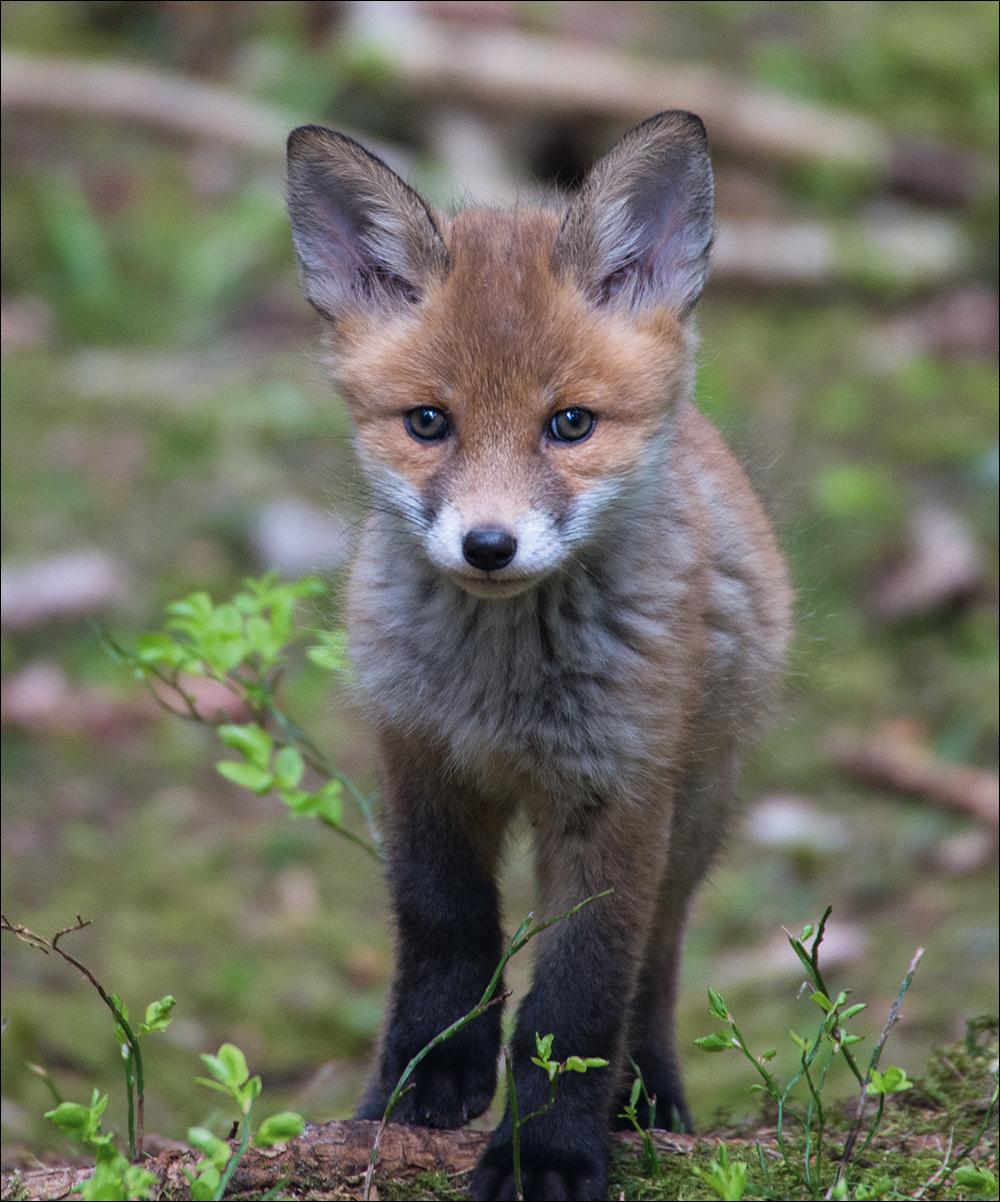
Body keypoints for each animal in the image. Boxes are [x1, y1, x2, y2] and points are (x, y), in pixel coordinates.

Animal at [287, 112, 788, 1202]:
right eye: (429, 422)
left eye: (570, 424)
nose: (489, 545)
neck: (502, 693)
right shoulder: (421, 763)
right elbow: (446, 934)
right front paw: (418, 1088)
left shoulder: (616, 795)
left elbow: (578, 1002)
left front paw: (546, 1151)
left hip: (694, 815)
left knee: (655, 970)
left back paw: (651, 1103)